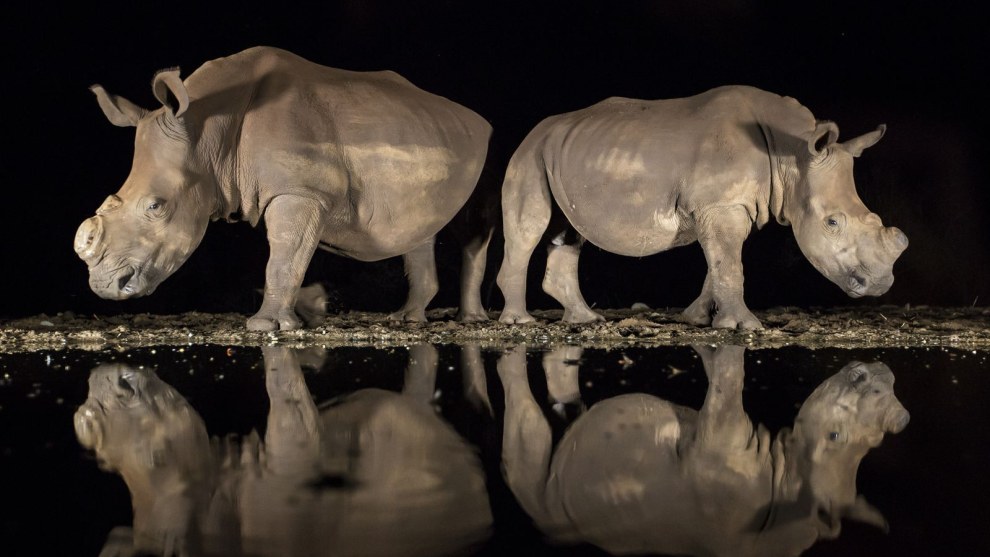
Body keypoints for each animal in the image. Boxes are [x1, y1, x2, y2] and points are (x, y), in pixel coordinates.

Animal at [73, 47, 494, 331]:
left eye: (156, 206)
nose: (105, 287)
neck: (208, 127)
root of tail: (474, 116)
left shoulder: (300, 190)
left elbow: (285, 254)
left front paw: (267, 326)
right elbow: (287, 253)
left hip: (485, 146)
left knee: (472, 229)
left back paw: (472, 321)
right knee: (420, 226)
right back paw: (407, 319)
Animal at [497, 86, 908, 329]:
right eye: (833, 222)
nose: (879, 284)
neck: (792, 152)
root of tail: (538, 130)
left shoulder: (729, 205)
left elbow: (721, 262)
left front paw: (697, 318)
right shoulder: (721, 203)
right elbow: (730, 264)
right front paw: (745, 326)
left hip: (564, 154)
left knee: (568, 231)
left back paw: (584, 319)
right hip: (529, 153)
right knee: (530, 226)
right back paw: (520, 323)